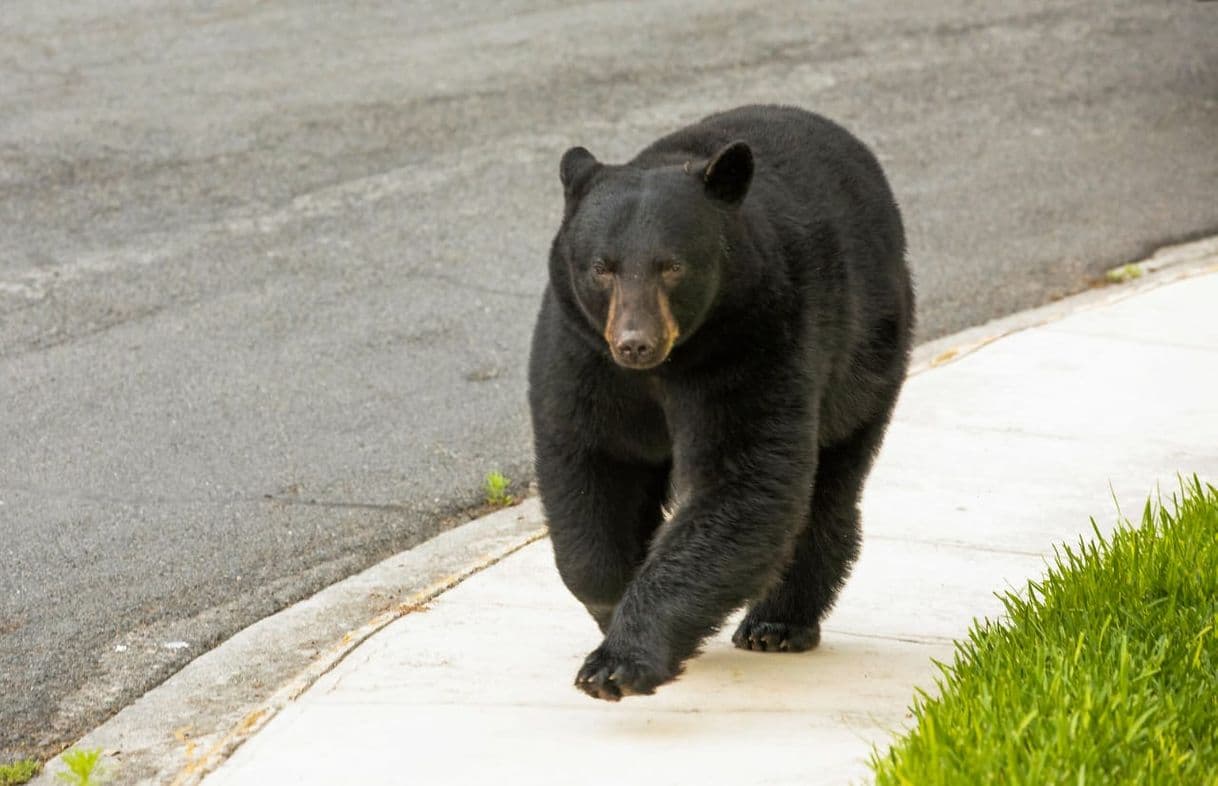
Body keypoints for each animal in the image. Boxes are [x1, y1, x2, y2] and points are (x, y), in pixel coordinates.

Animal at [526, 104, 915, 697]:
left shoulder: (755, 339)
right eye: (602, 267)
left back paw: (778, 622)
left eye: (672, 265)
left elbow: (744, 481)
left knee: (829, 483)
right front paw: (613, 604)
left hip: (868, 355)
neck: (666, 367)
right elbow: (591, 464)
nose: (635, 342)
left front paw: (619, 661)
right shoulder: (583, 353)